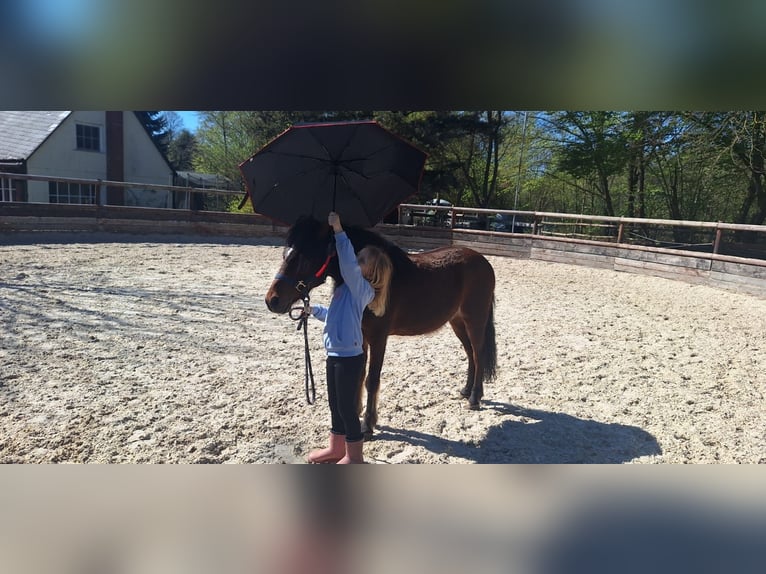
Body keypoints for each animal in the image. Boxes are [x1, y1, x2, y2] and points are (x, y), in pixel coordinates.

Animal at [265, 217, 497, 439]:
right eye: (286, 253)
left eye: (303, 258)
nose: (272, 300)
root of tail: (483, 262)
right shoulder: (362, 337)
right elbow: (359, 375)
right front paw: (357, 411)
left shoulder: (378, 338)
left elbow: (372, 379)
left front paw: (368, 425)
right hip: (457, 322)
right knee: (470, 353)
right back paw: (466, 390)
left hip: (475, 321)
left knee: (478, 353)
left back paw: (474, 398)